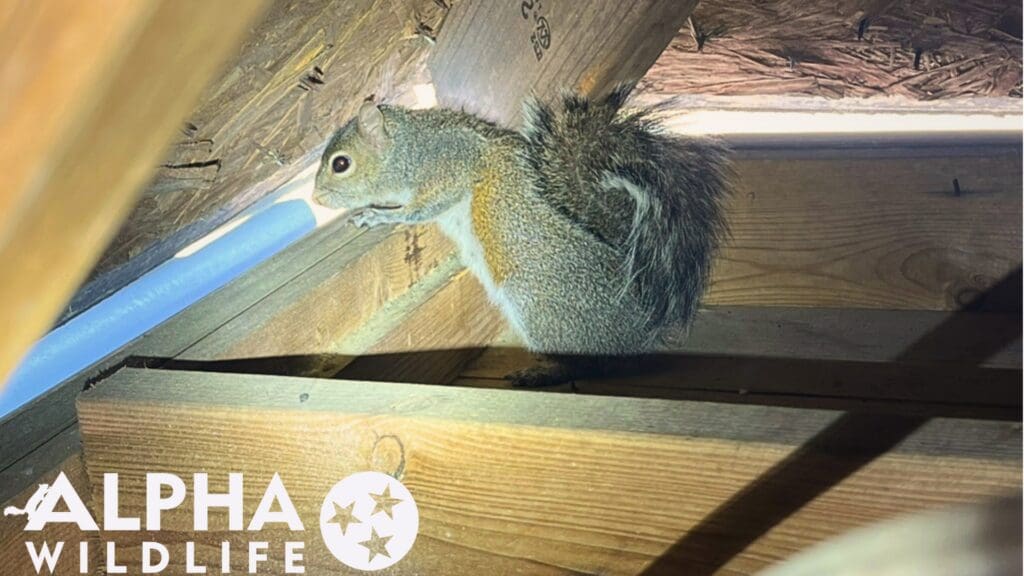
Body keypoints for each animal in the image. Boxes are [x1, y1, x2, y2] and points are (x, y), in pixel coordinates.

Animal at [313, 87, 731, 384]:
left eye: (341, 164)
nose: (316, 198)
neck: (409, 148)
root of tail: (642, 334)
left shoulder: (452, 165)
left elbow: (423, 207)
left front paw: (376, 216)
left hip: (537, 304)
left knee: (596, 366)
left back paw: (543, 373)